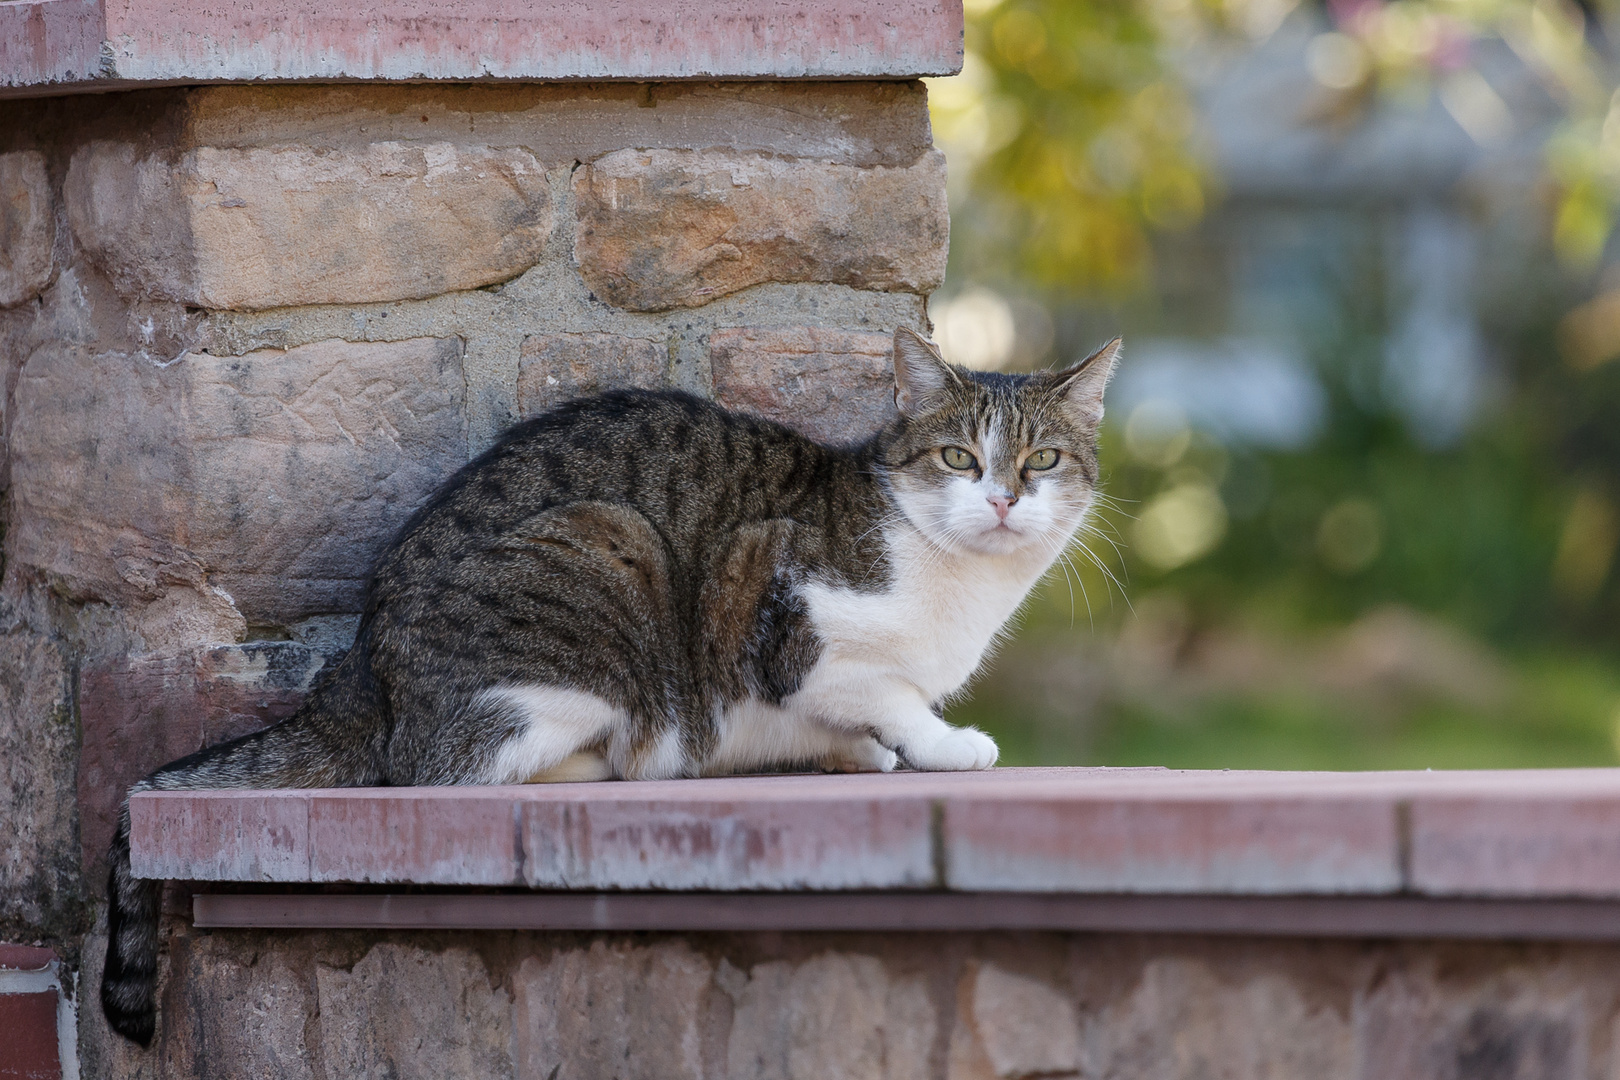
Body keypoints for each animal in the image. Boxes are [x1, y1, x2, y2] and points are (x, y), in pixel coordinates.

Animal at [94, 325, 1121, 1042]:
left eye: (1042, 460)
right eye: (959, 458)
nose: (1003, 499)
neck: (955, 578)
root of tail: (361, 658)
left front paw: (858, 755)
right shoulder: (793, 621)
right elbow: (888, 693)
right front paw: (941, 743)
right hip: (604, 565)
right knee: (445, 765)